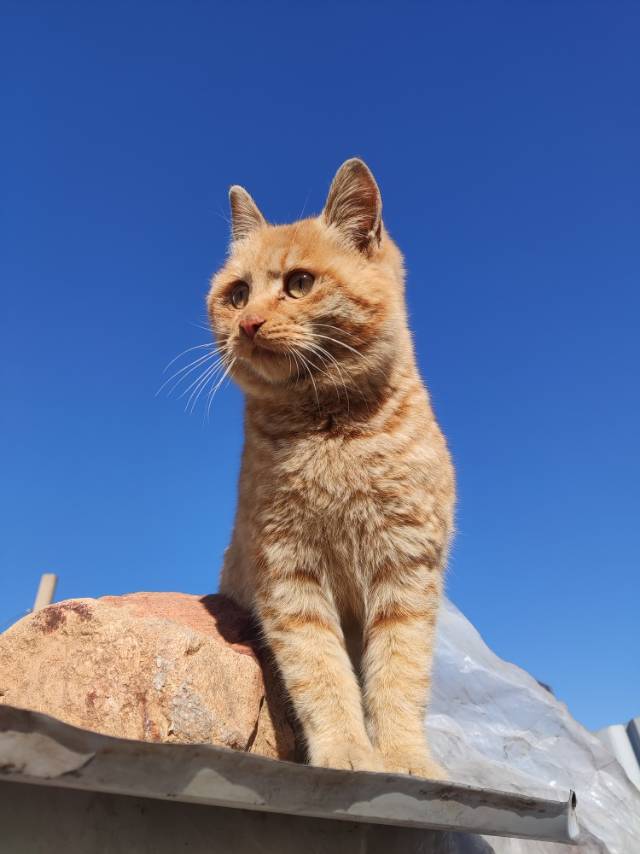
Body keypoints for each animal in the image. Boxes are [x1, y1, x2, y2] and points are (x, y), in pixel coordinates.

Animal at [206, 157, 456, 780]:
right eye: (237, 293)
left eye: (298, 283)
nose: (248, 323)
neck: (330, 432)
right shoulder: (288, 573)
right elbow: (320, 672)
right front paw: (347, 752)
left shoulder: (407, 573)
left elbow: (399, 677)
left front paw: (405, 758)